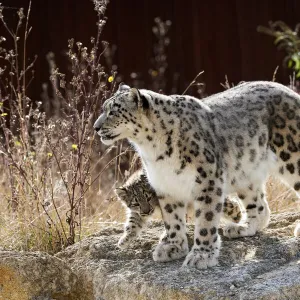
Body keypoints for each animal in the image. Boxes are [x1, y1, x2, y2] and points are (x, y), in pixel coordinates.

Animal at [95, 81, 300, 270]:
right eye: (104, 108)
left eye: (113, 111)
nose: (96, 127)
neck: (152, 150)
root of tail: (290, 91)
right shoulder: (165, 184)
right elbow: (172, 218)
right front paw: (173, 247)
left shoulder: (208, 179)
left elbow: (206, 218)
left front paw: (202, 255)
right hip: (246, 173)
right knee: (259, 206)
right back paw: (241, 227)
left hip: (291, 157)